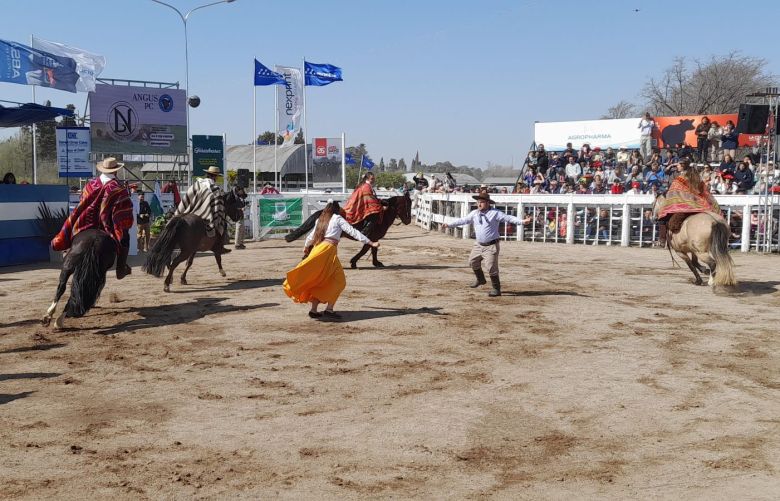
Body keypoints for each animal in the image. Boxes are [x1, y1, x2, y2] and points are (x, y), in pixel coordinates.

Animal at [284, 191, 412, 270]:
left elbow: (373, 249)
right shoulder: (371, 237)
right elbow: (366, 249)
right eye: (408, 205)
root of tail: (322, 212)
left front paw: (376, 263)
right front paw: (354, 262)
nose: (408, 221)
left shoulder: (374, 238)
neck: (382, 217)